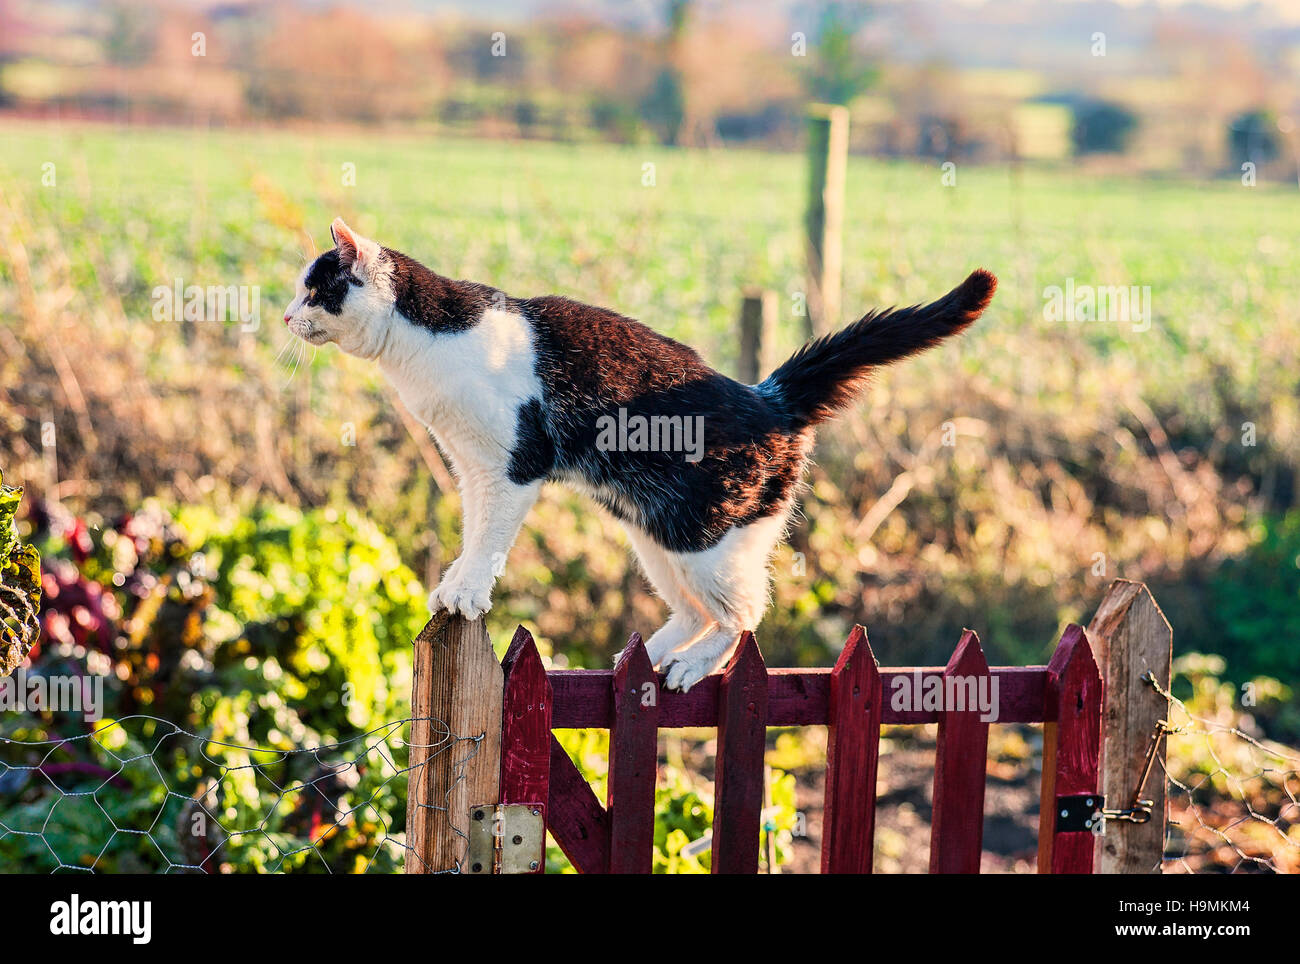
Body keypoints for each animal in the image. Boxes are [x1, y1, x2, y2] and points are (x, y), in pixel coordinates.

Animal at [284, 219, 993, 691]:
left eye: (315, 291)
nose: (286, 316)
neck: (421, 350)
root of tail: (768, 395)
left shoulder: (512, 469)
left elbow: (489, 540)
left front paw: (467, 593)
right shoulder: (470, 469)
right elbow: (471, 533)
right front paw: (456, 581)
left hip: (706, 538)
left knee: (745, 614)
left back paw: (690, 666)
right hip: (655, 536)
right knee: (694, 609)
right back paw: (650, 656)